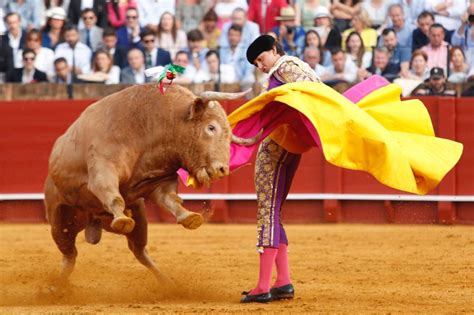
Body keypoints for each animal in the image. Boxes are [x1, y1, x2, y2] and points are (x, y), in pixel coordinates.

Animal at [43, 83, 260, 282]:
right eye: (211, 127)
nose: (223, 169)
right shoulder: (103, 170)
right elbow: (113, 196)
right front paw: (121, 219)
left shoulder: (160, 179)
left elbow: (170, 200)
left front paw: (190, 217)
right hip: (58, 220)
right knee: (69, 254)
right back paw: (57, 286)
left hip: (139, 217)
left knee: (139, 251)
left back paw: (167, 282)